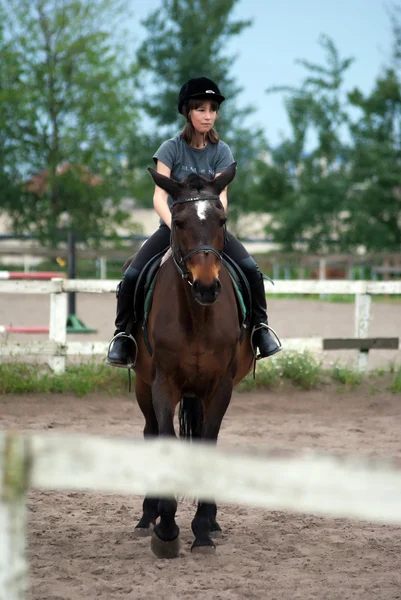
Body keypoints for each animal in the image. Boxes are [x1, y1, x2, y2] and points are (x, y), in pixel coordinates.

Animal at [131, 163, 253, 556]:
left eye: (222, 219)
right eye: (180, 221)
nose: (206, 286)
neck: (198, 316)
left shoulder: (220, 387)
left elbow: (207, 442)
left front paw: (201, 528)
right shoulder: (162, 384)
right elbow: (166, 441)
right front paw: (167, 527)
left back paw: (211, 522)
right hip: (143, 386)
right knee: (151, 432)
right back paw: (147, 516)